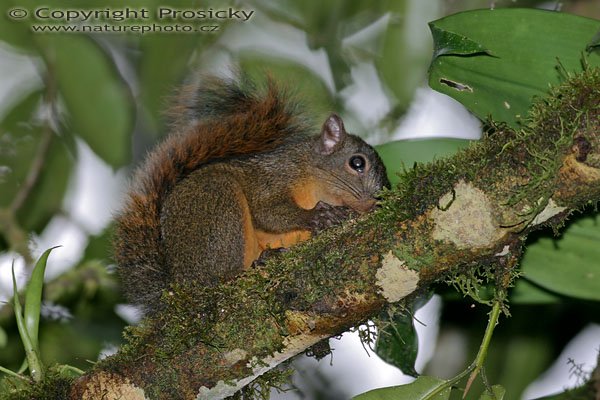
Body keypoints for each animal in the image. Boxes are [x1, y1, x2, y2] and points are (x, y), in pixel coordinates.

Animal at [113, 74, 390, 312]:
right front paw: (318, 216)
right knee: (218, 278)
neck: (311, 176)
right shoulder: (273, 176)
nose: (373, 203)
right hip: (217, 203)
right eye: (357, 163)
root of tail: (176, 286)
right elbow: (266, 211)